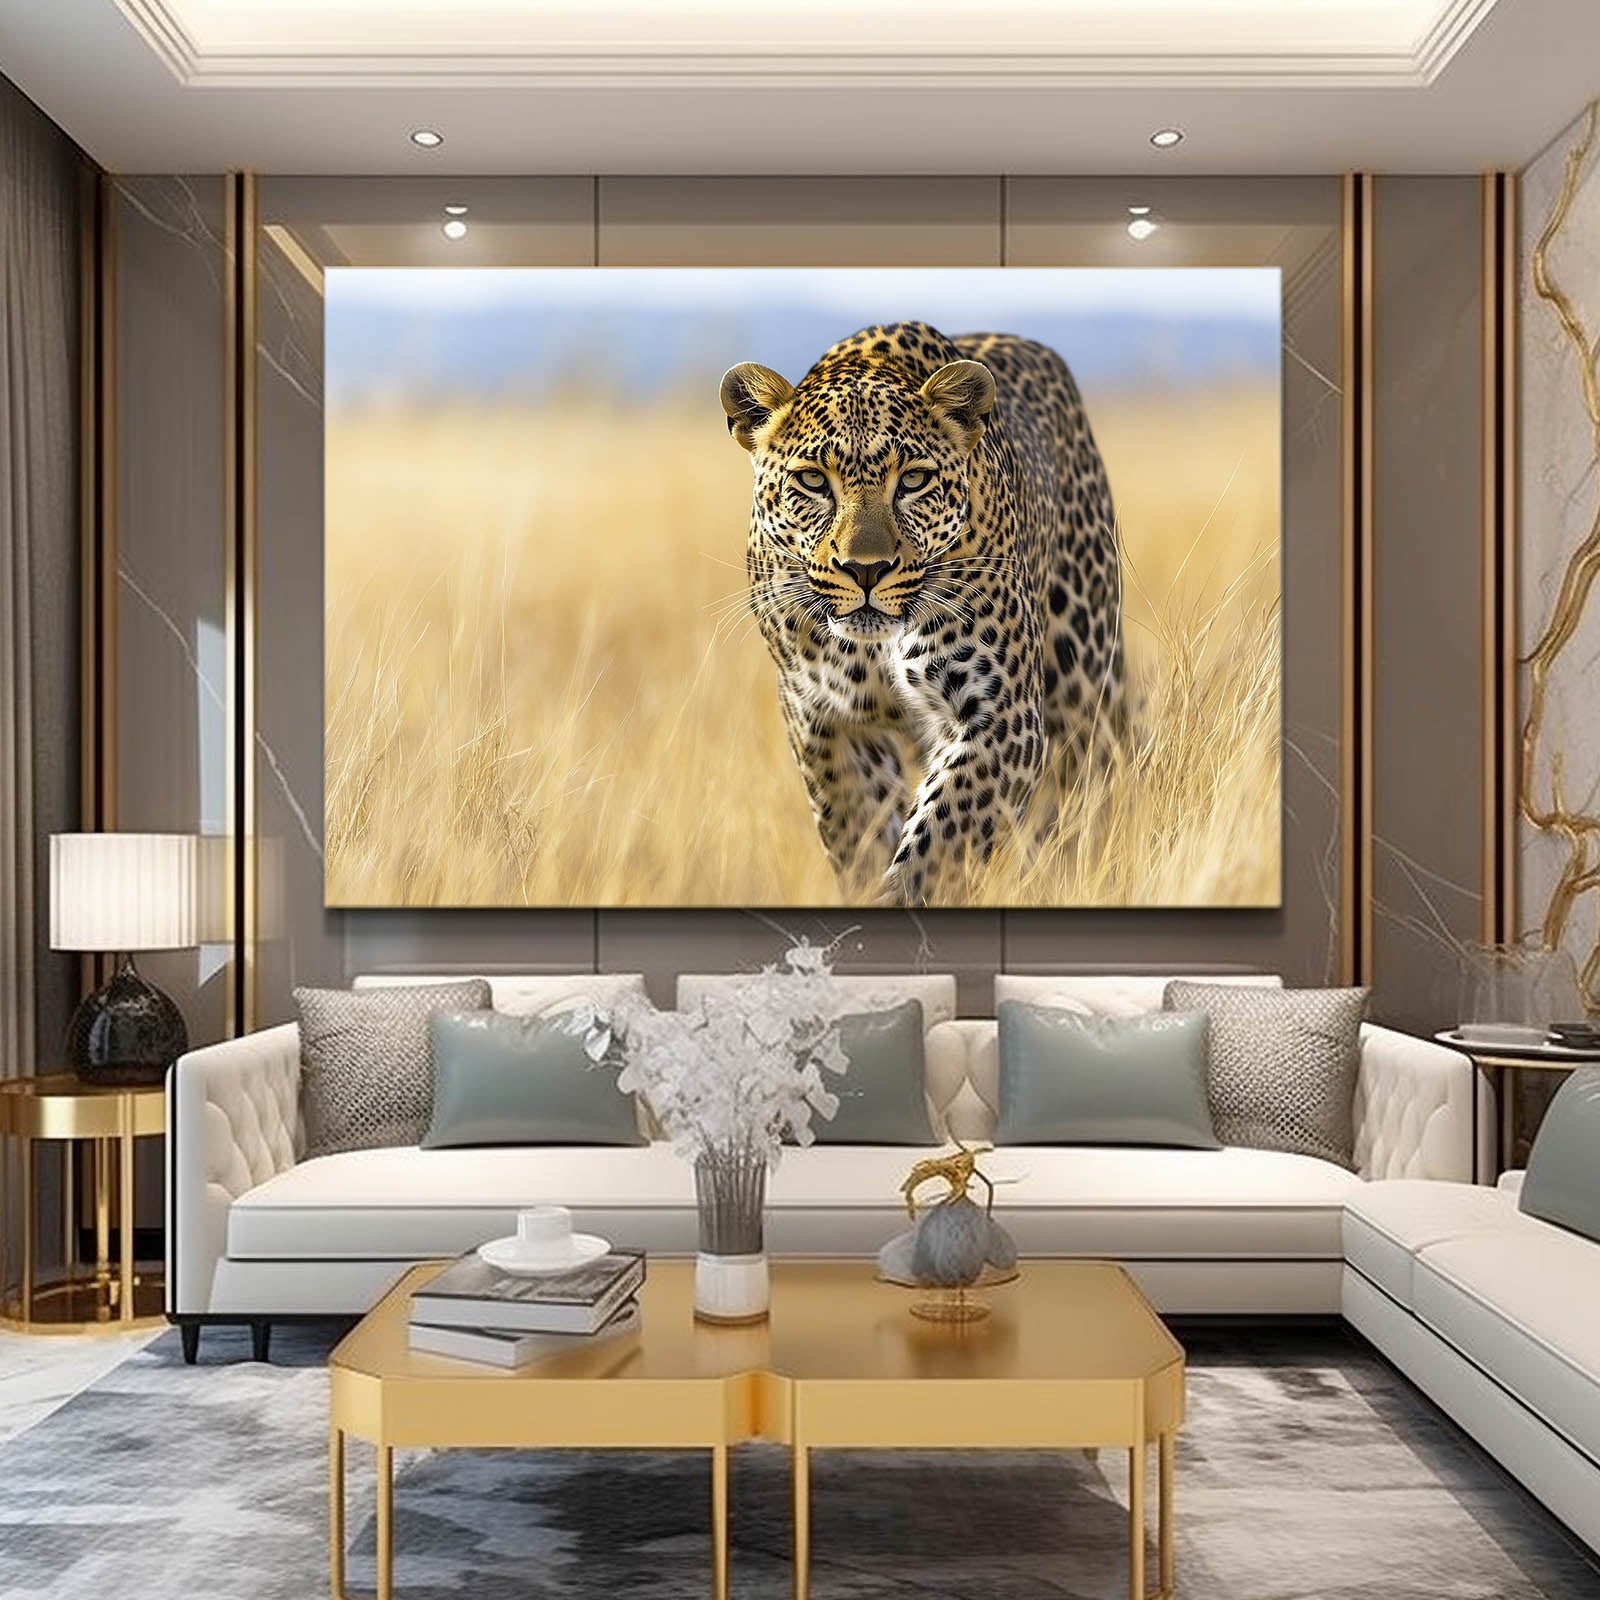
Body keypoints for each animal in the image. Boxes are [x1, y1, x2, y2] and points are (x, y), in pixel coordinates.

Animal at [721, 320, 1123, 906]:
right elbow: (860, 839)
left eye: (912, 480)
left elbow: (935, 846)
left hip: (1084, 686)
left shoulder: (1000, 714)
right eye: (813, 481)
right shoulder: (824, 719)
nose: (865, 569)